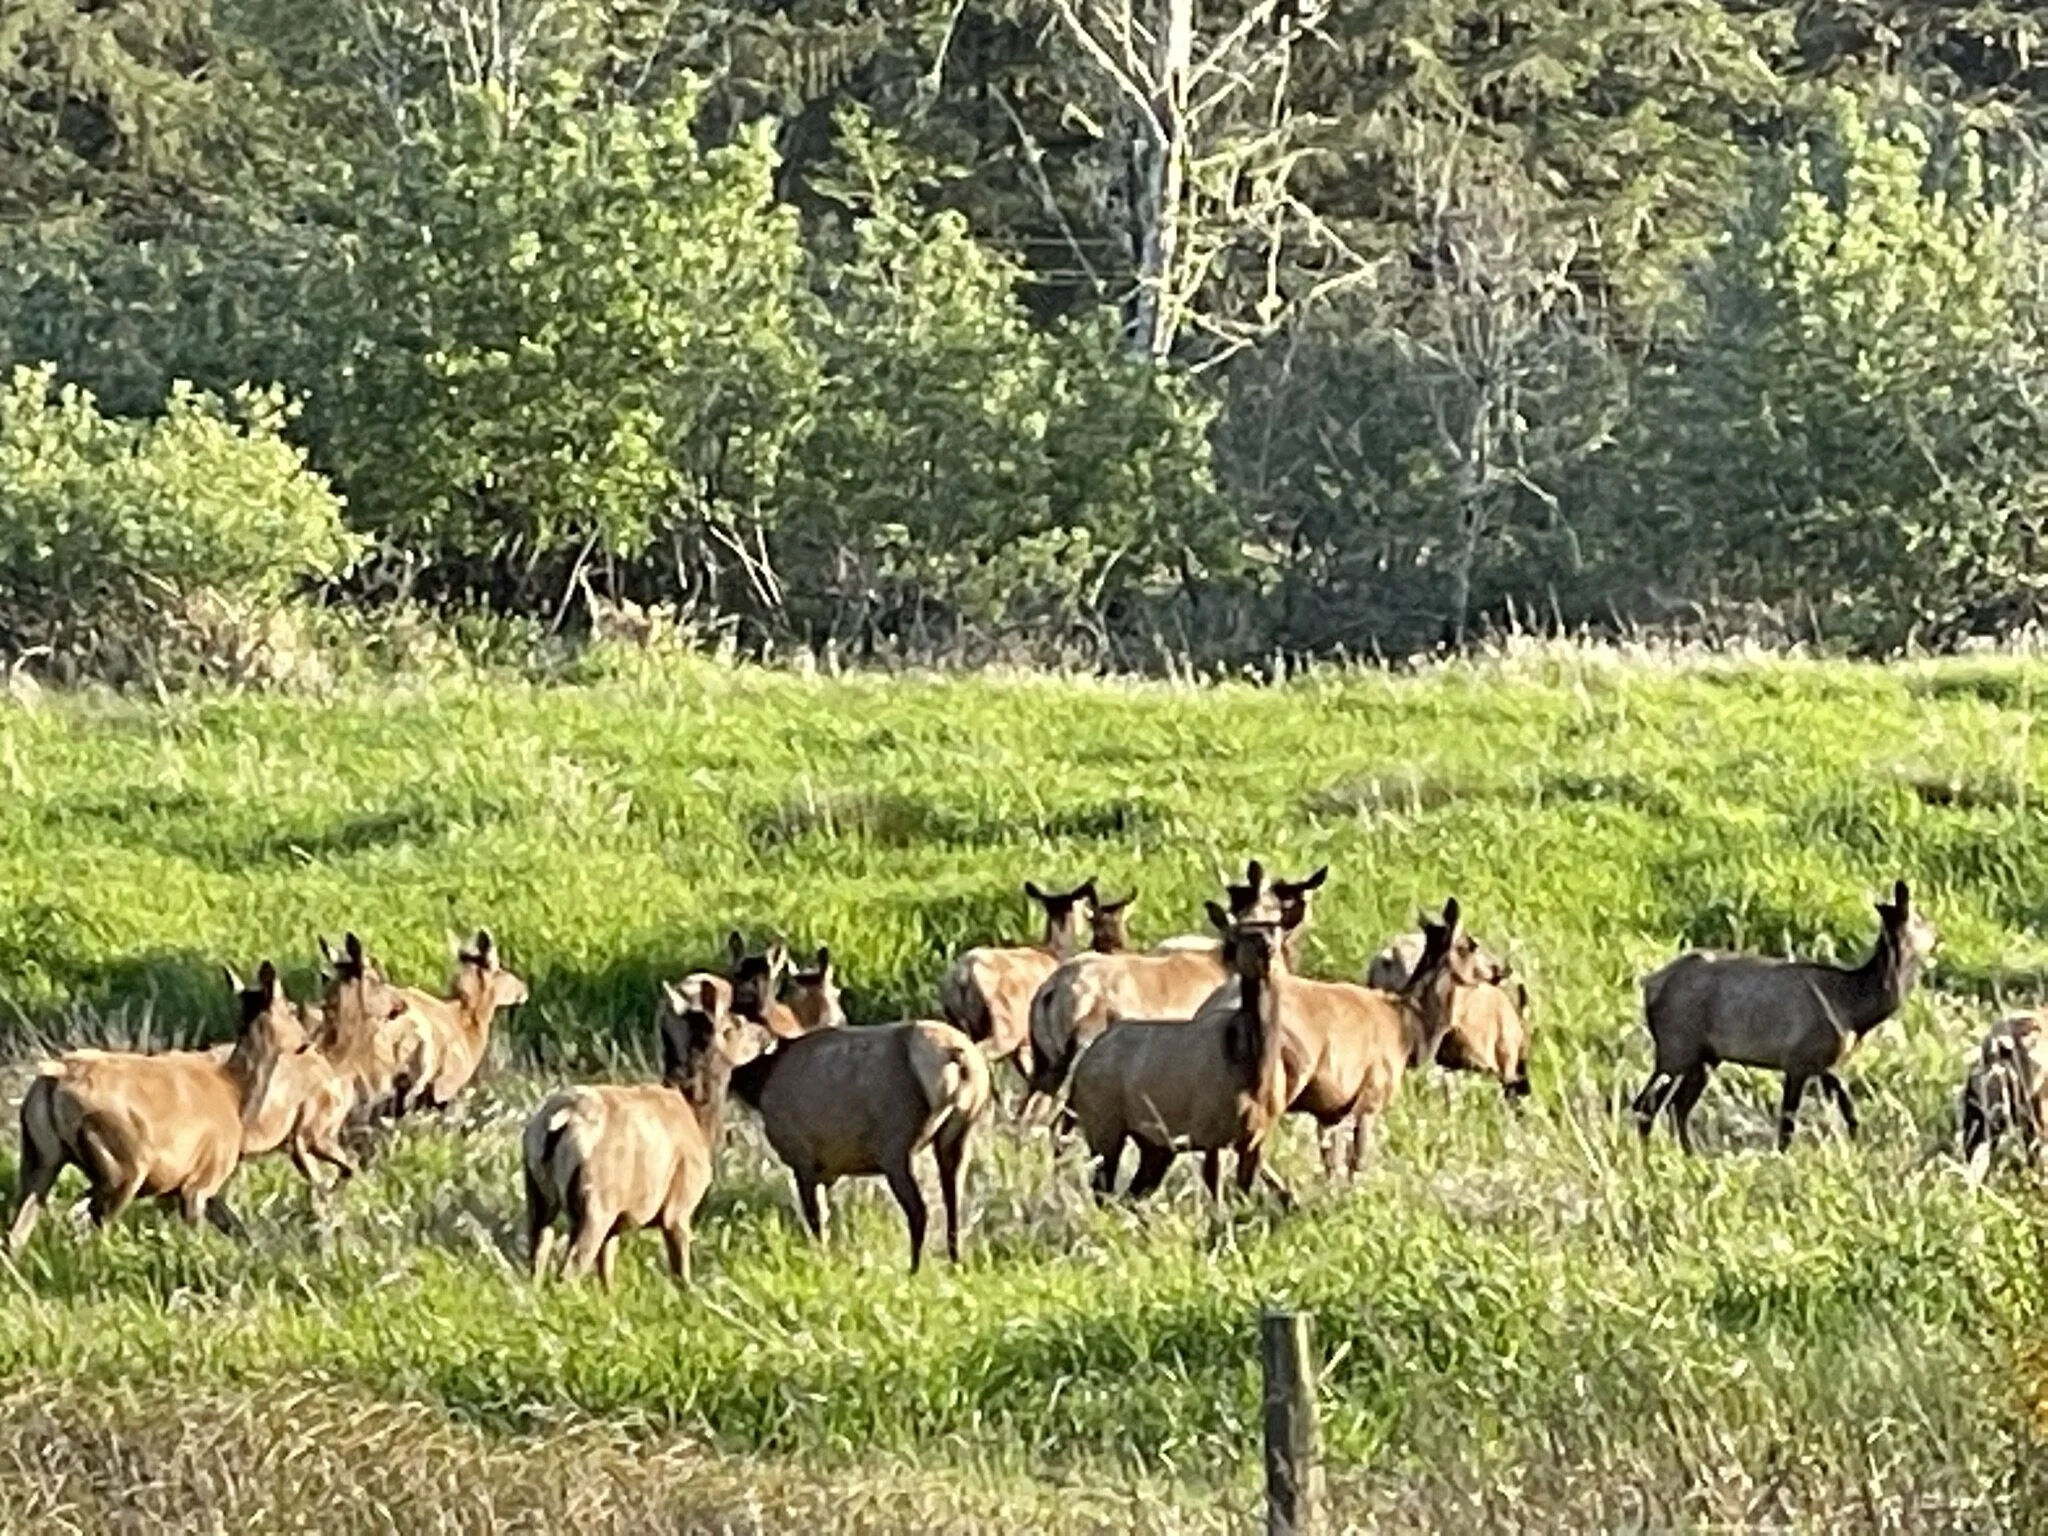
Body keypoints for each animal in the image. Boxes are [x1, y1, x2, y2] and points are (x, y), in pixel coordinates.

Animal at [1632, 880, 1936, 1152]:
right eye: (1920, 919)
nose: (1937, 932)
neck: (1854, 1011)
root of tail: (1649, 986)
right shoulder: (1798, 1060)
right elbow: (1788, 1125)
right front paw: (1782, 1157)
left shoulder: (1825, 1063)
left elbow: (1849, 1111)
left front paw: (1855, 1146)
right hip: (1676, 1046)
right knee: (1647, 1104)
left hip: (1703, 1056)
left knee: (1675, 1105)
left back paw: (1687, 1154)